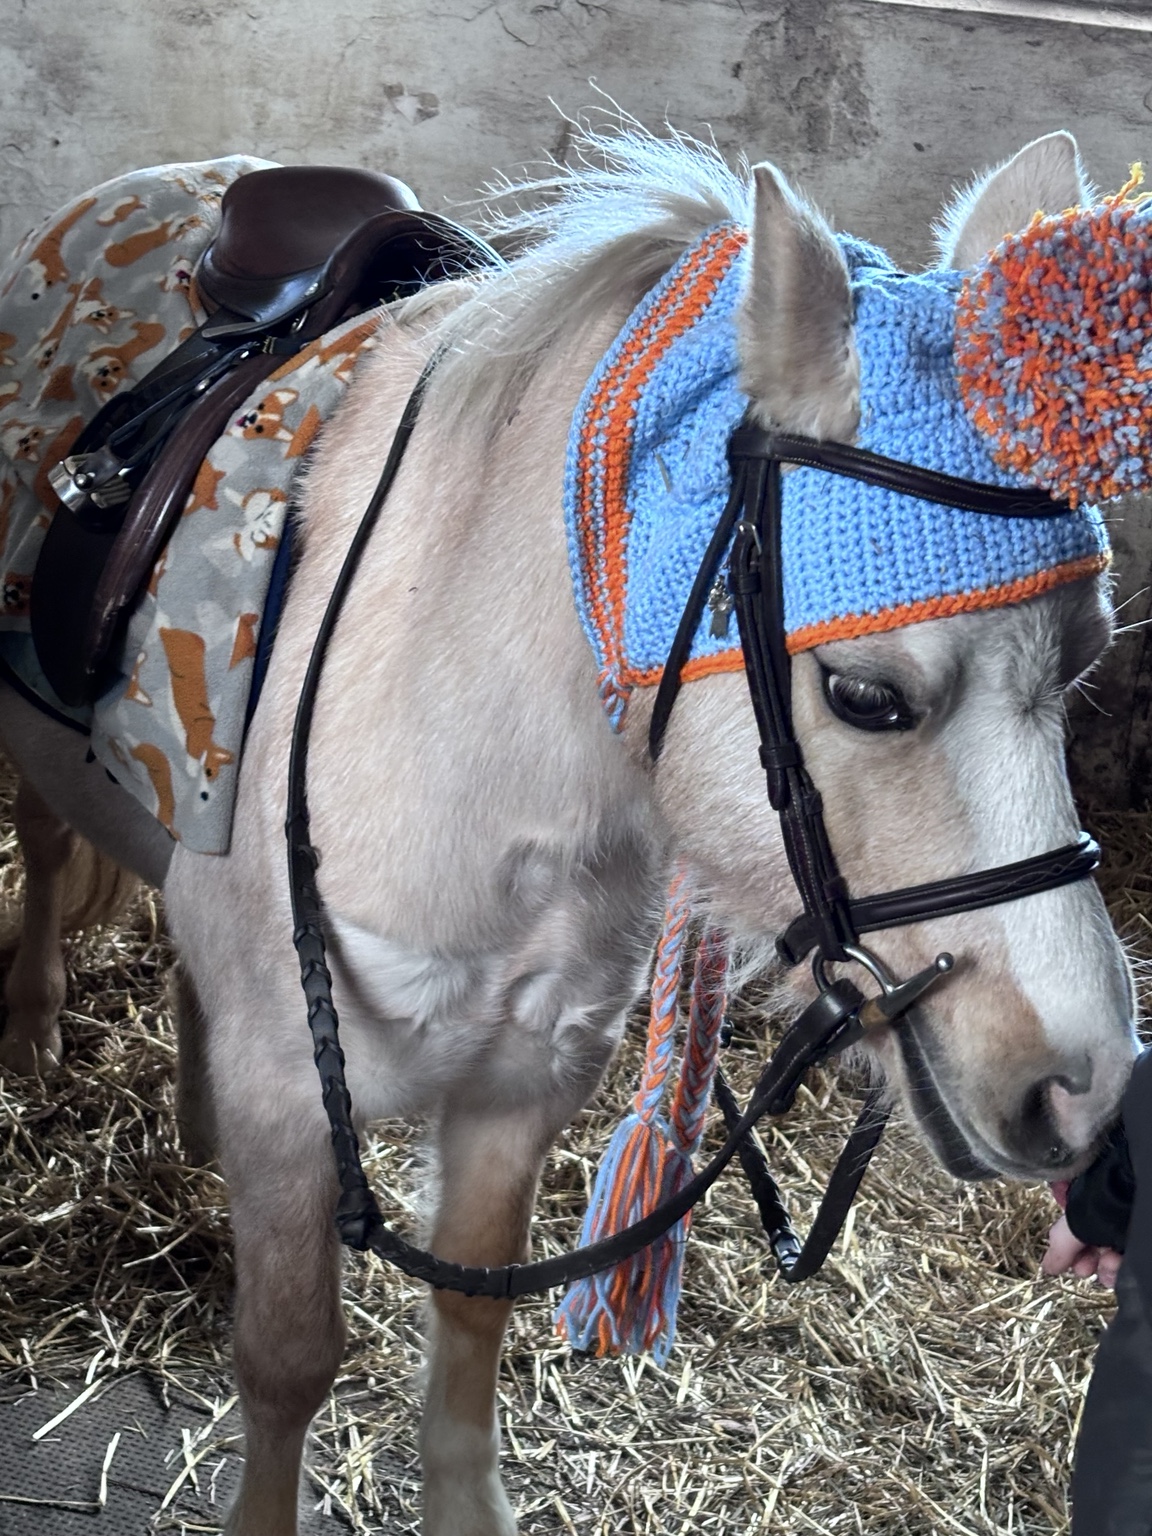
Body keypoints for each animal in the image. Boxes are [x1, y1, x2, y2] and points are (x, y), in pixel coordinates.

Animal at [0, 124, 1138, 1535]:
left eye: (1081, 666)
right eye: (867, 695)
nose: (1086, 1085)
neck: (468, 744)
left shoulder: (517, 1086)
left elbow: (464, 1358)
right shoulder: (293, 1098)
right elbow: (286, 1362)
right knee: (51, 852)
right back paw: (34, 1030)